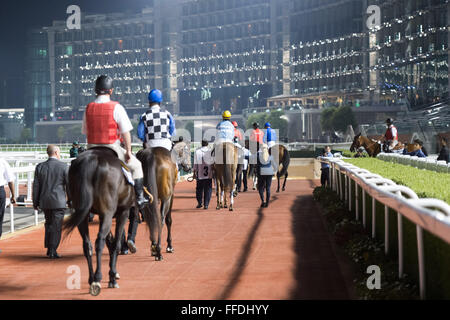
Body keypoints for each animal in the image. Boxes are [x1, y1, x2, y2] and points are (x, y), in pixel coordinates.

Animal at [62, 148, 138, 296]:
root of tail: (91, 160)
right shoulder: (122, 212)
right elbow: (115, 244)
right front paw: (112, 276)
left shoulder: (103, 215)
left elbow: (110, 241)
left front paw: (113, 274)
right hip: (108, 212)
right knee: (99, 241)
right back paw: (97, 278)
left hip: (83, 213)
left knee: (87, 244)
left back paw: (91, 279)